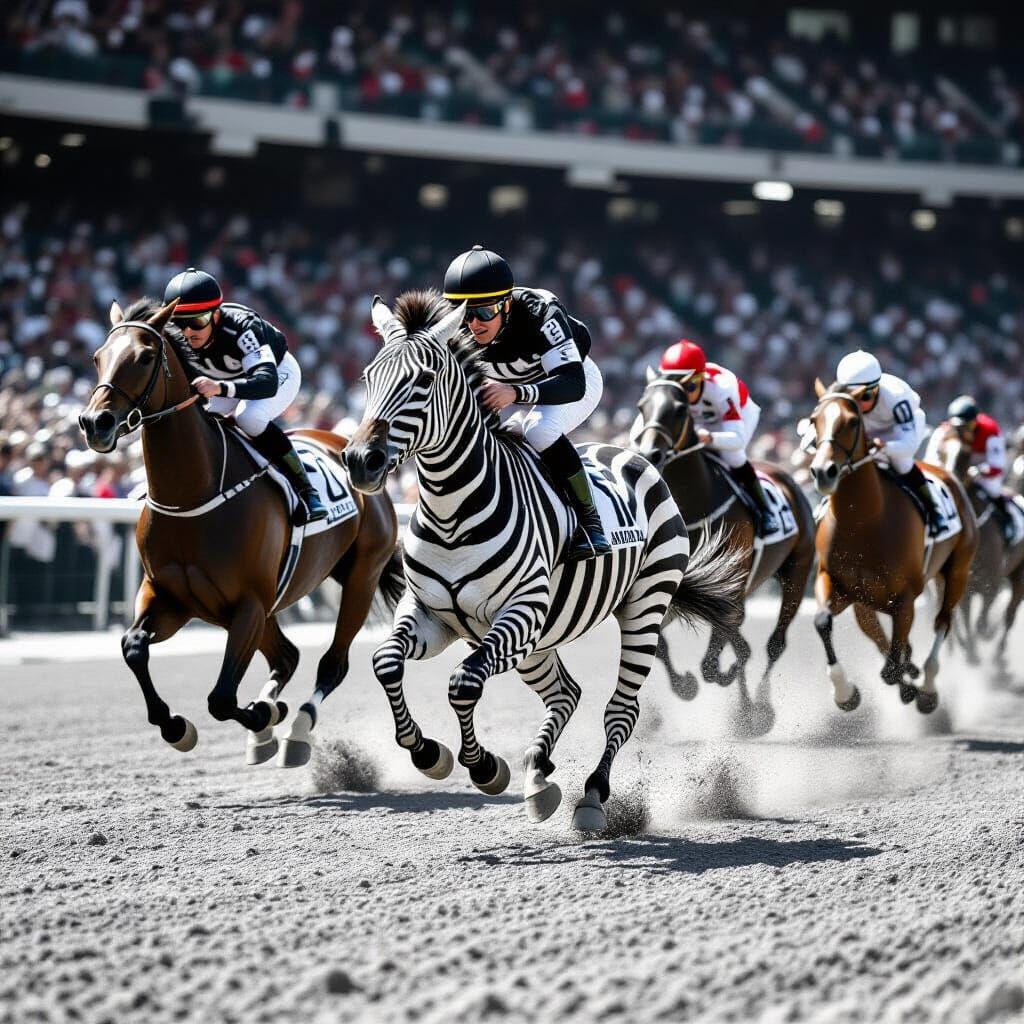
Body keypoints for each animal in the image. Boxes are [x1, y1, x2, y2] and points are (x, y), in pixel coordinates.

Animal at [78, 297, 403, 766]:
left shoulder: (247, 605)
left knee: (331, 665)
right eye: (97, 357)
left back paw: (295, 731)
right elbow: (133, 645)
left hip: (361, 577)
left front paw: (263, 714)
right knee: (287, 657)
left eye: (144, 357)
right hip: (273, 605)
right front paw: (178, 727)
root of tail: (350, 448)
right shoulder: (169, 597)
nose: (95, 423)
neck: (192, 496)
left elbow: (221, 699)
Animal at [343, 291, 745, 832]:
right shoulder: (434, 616)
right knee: (566, 693)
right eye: (368, 377)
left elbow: (464, 682)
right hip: (538, 643)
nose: (360, 461)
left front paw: (483, 767)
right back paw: (538, 777)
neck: (453, 514)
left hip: (642, 608)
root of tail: (636, 457)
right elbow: (386, 663)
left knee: (620, 709)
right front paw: (429, 754)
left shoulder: (520, 614)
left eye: (422, 381)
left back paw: (591, 797)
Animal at [632, 372, 816, 735]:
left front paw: (731, 687)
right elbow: (661, 644)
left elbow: (725, 655)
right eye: (642, 406)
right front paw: (685, 685)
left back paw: (758, 710)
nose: (650, 453)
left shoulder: (729, 586)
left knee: (774, 644)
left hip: (797, 573)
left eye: (678, 409)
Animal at [805, 381, 977, 713]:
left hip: (958, 572)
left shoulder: (905, 600)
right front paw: (845, 693)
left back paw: (928, 688)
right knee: (881, 635)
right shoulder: (836, 585)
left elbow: (890, 669)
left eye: (852, 421)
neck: (863, 522)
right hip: (865, 602)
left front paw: (912, 686)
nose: (823, 471)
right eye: (813, 420)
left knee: (942, 622)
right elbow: (822, 622)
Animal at [926, 423, 1024, 675]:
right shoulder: (960, 585)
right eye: (939, 450)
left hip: (1019, 578)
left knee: (1009, 615)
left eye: (964, 454)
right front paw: (967, 652)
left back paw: (998, 657)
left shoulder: (991, 585)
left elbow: (979, 623)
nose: (948, 478)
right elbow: (963, 620)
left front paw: (977, 646)